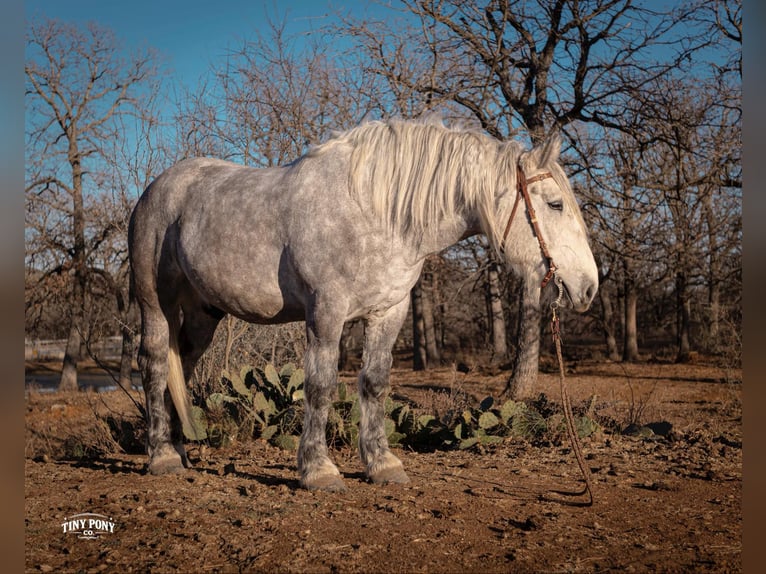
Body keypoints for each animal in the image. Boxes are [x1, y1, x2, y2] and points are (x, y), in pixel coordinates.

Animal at [128, 117, 598, 492]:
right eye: (555, 204)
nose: (589, 287)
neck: (378, 213)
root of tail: (157, 188)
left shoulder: (389, 312)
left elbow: (374, 383)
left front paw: (381, 464)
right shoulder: (326, 312)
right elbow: (319, 386)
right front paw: (318, 470)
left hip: (204, 312)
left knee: (183, 365)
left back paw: (179, 450)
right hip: (155, 303)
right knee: (155, 364)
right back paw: (162, 456)